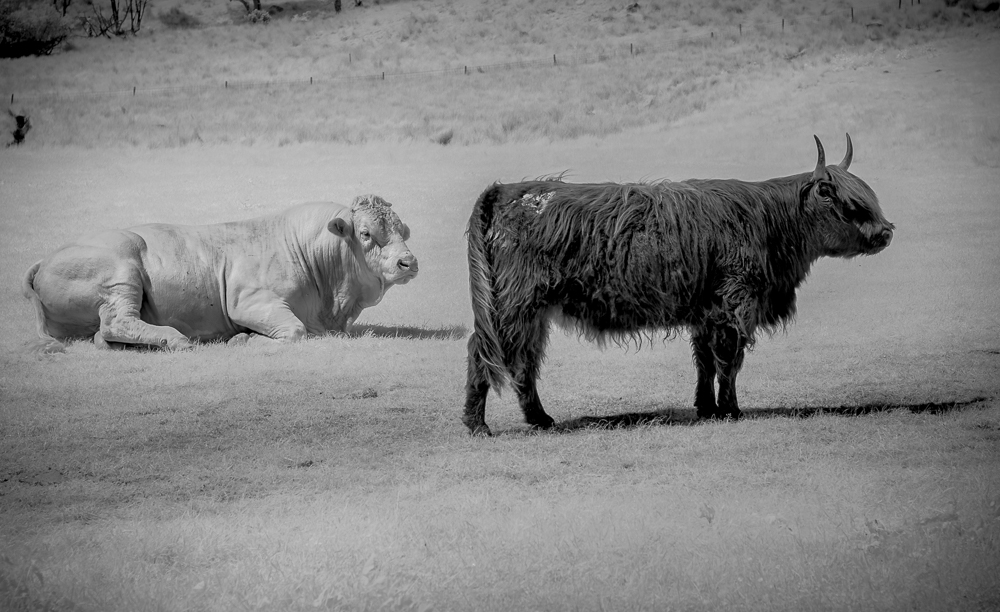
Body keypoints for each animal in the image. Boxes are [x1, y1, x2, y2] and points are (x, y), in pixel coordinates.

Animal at [23, 195, 418, 353]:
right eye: (365, 233)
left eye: (404, 230)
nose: (408, 262)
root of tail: (45, 260)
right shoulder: (250, 303)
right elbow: (295, 331)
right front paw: (243, 339)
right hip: (121, 272)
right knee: (116, 321)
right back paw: (176, 339)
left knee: (103, 333)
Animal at [463, 134, 894, 436]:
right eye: (843, 200)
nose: (886, 231)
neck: (769, 221)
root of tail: (506, 190)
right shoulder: (734, 303)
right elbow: (729, 361)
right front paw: (731, 410)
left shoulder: (707, 310)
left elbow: (705, 361)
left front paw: (706, 408)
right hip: (513, 306)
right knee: (484, 352)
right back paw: (478, 425)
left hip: (530, 311)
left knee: (523, 361)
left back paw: (540, 418)